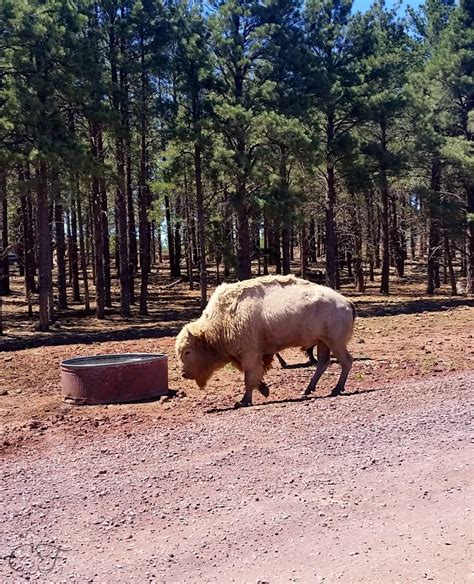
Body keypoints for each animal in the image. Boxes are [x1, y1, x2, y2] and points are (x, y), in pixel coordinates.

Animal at [176, 274, 354, 406]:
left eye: (188, 352)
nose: (184, 373)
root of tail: (347, 302)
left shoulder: (249, 355)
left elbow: (249, 378)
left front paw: (244, 401)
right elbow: (254, 376)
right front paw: (264, 389)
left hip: (335, 342)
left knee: (346, 361)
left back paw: (336, 389)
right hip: (323, 342)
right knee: (323, 363)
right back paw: (307, 390)